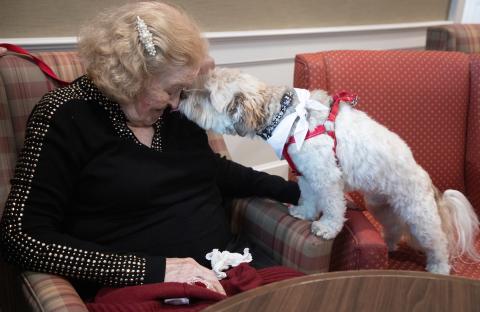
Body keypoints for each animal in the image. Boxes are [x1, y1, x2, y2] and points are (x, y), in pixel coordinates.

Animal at [178, 67, 478, 272]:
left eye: (207, 95)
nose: (181, 94)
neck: (288, 117)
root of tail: (427, 180)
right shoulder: (307, 176)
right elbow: (310, 199)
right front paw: (305, 213)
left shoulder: (327, 178)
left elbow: (333, 208)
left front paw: (326, 228)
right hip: (381, 205)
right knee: (394, 228)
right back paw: (389, 243)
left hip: (419, 215)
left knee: (439, 242)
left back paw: (439, 267)